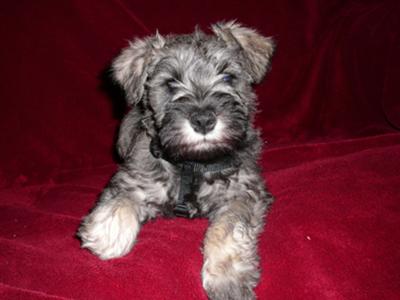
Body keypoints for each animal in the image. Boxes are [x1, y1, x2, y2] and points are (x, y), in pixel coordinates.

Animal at [80, 21, 276, 300]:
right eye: (171, 84)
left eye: (228, 77)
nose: (204, 120)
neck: (192, 163)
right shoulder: (136, 179)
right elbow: (121, 200)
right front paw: (107, 235)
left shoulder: (242, 193)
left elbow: (227, 229)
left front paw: (227, 279)